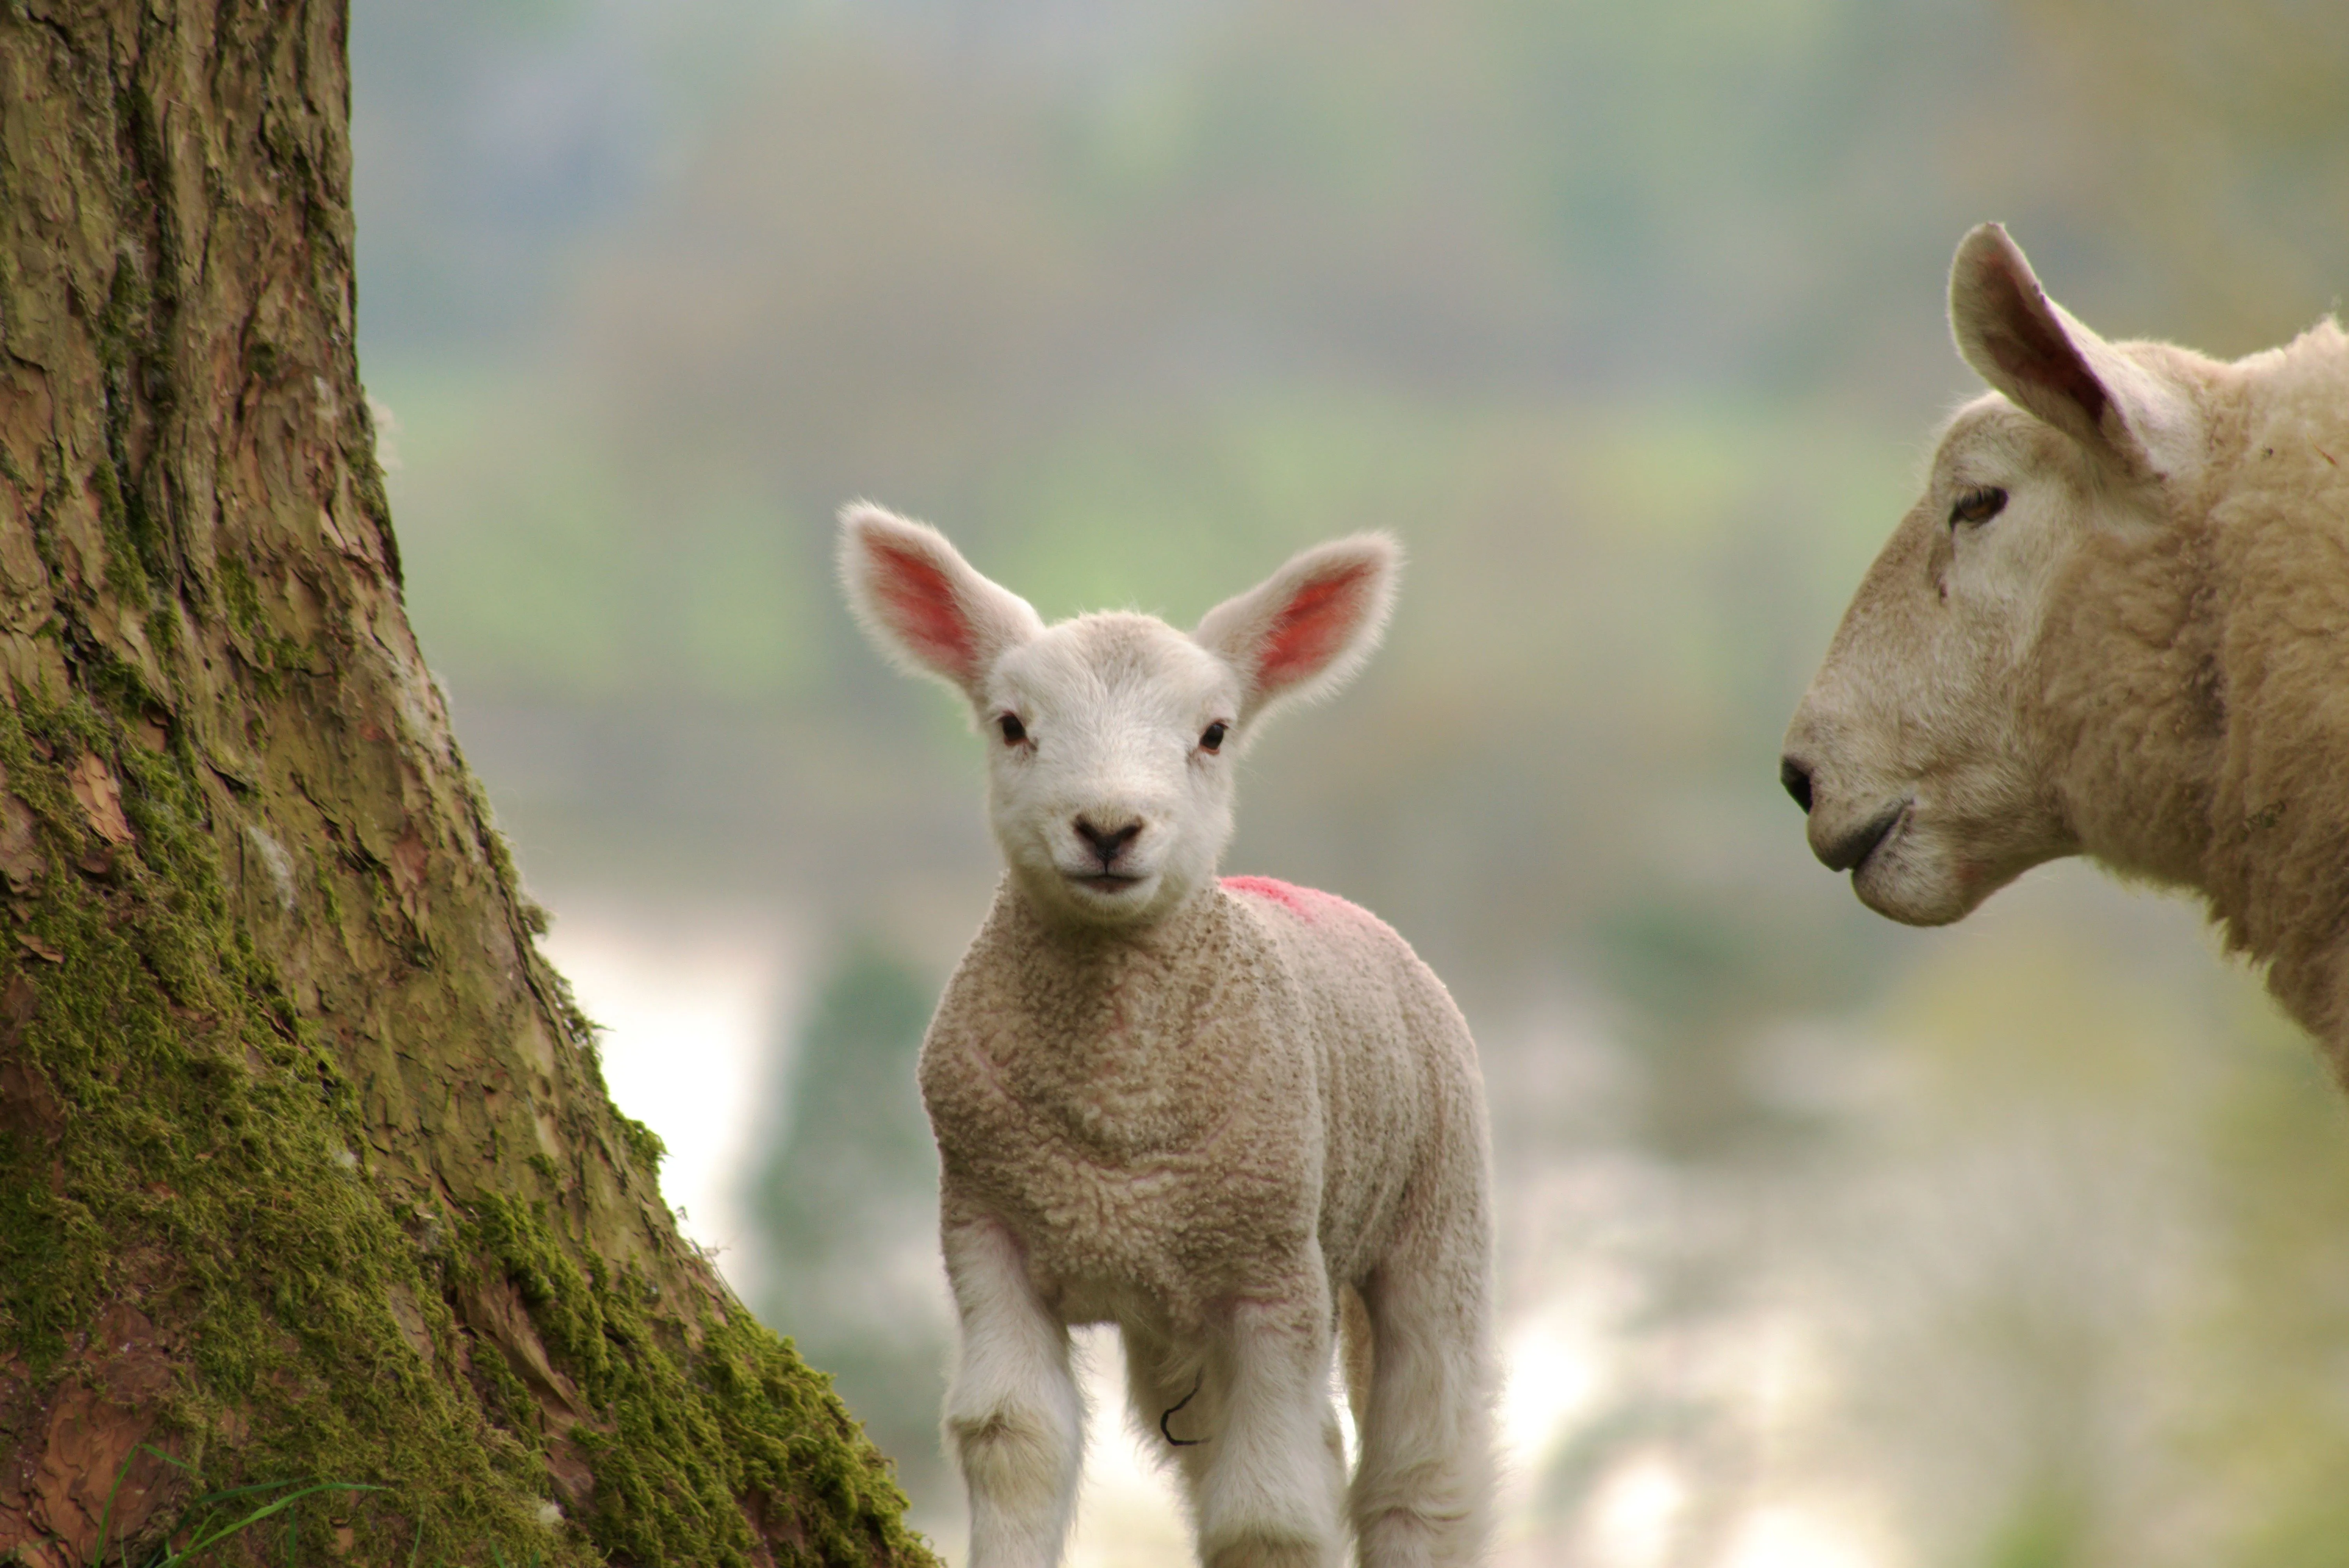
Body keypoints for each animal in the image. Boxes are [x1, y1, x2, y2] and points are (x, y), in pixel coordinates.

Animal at [837, 504, 1496, 1568]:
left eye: (1214, 734)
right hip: (1182, 1304)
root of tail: (1309, 894)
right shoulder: (988, 1229)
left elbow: (1269, 1512)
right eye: (1011, 724)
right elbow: (1012, 1437)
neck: (1116, 1125)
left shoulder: (1273, 1274)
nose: (1108, 828)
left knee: (1422, 1467)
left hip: (1437, 1207)